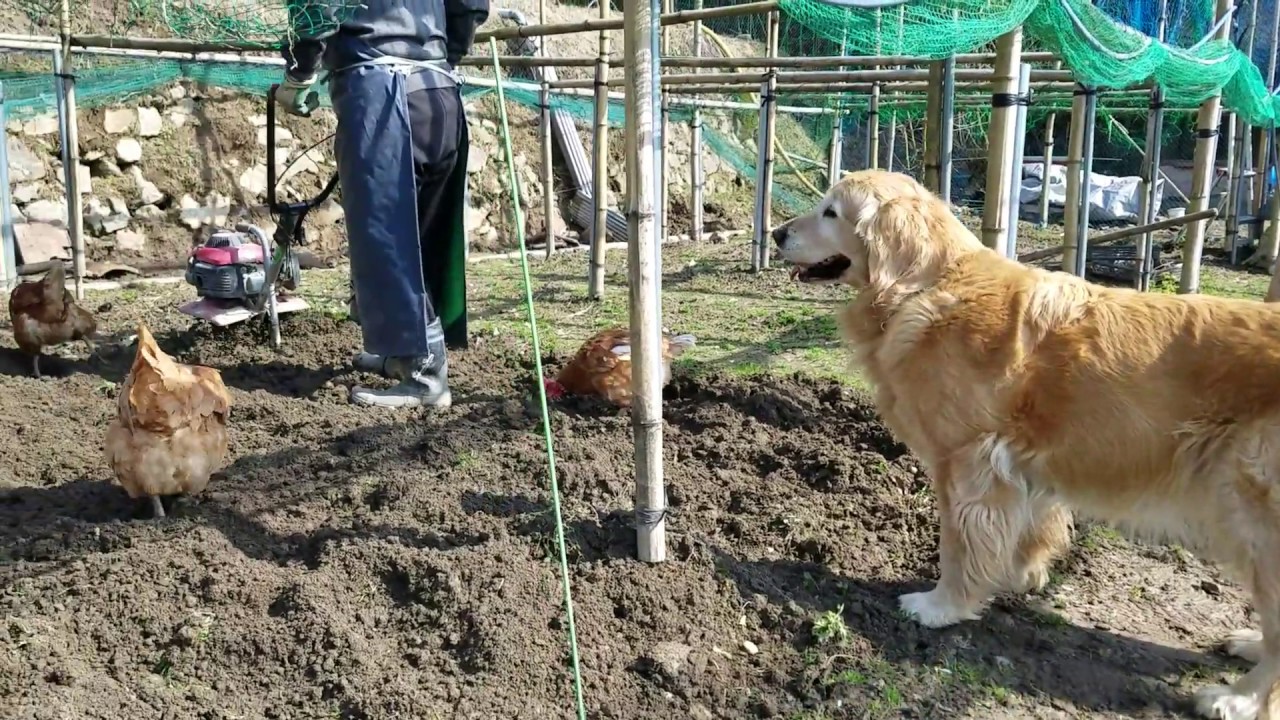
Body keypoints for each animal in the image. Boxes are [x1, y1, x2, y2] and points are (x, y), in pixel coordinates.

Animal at [768, 167, 1280, 717]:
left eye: (831, 212)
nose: (776, 234)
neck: (926, 284)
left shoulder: (968, 463)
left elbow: (958, 546)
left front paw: (942, 605)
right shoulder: (1020, 466)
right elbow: (1028, 530)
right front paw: (1018, 577)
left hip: (1252, 516)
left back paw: (1238, 697)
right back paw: (1249, 645)